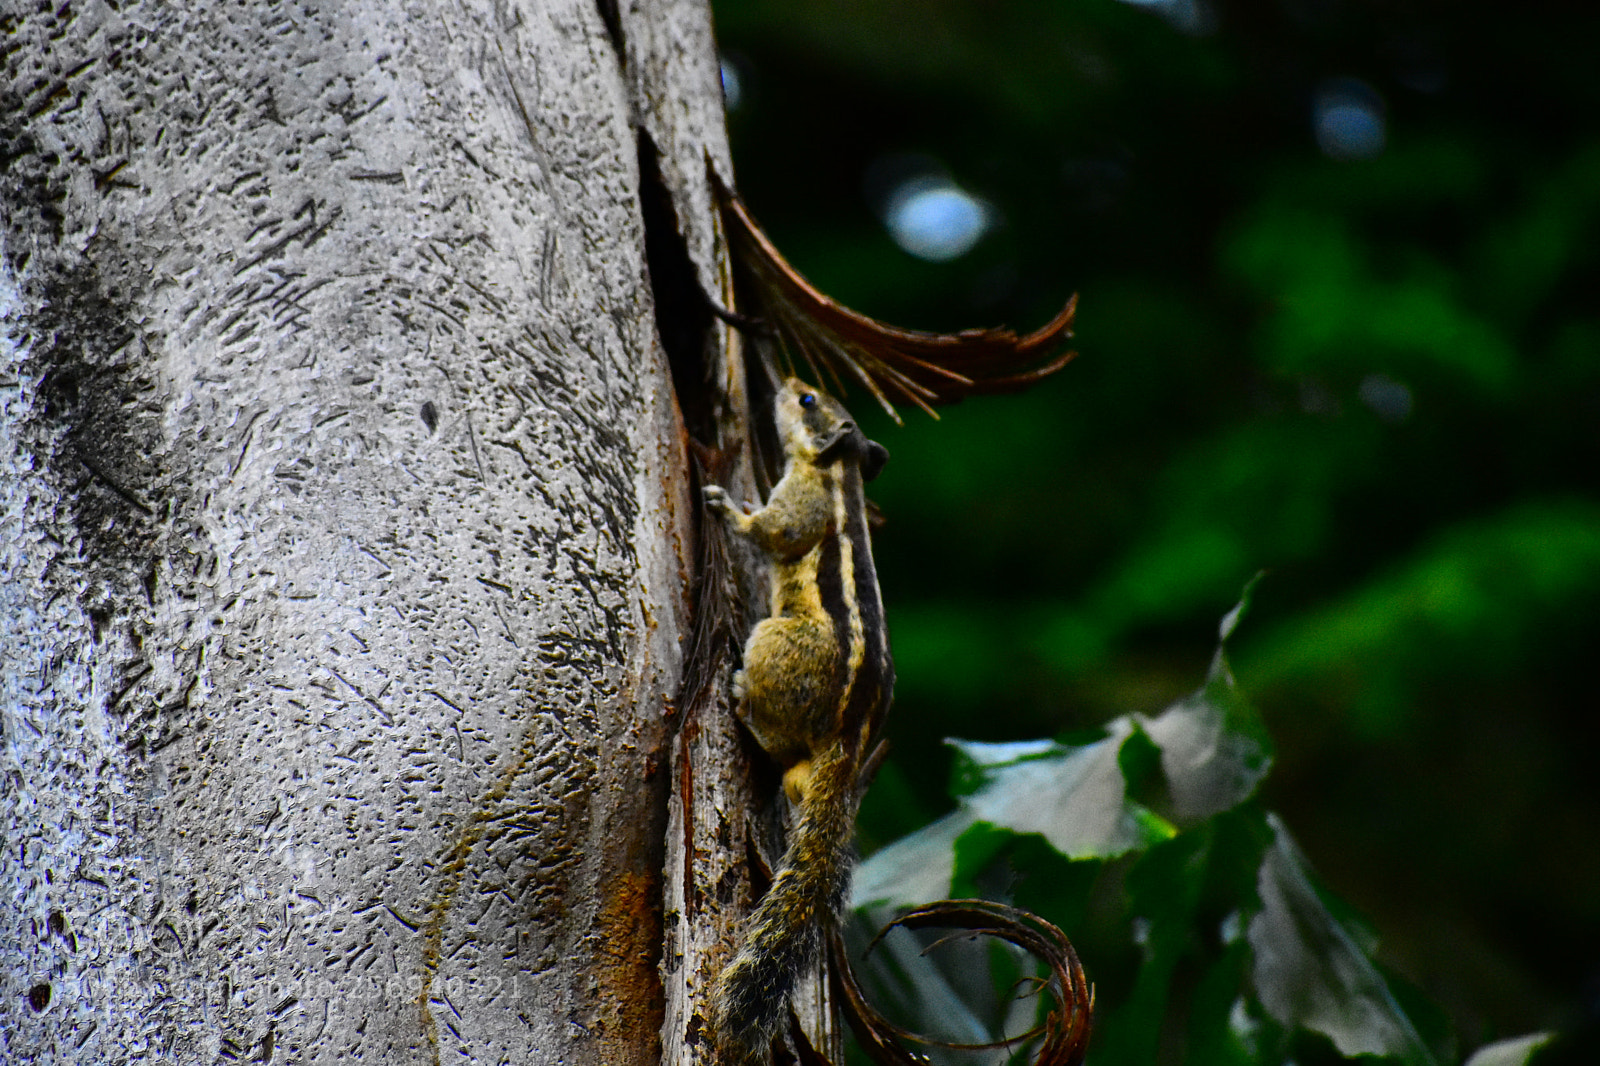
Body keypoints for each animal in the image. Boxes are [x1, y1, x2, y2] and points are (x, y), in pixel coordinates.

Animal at [702, 377, 895, 1061]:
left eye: (808, 401)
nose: (784, 382)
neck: (838, 470)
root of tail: (849, 740)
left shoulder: (801, 501)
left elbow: (777, 532)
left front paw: (727, 508)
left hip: (774, 643)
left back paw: (740, 699)